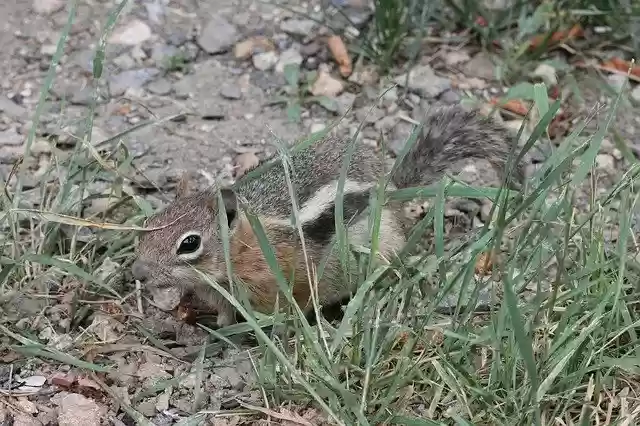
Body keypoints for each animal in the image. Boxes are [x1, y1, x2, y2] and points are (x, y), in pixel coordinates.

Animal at [131, 104, 525, 327]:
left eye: (189, 244)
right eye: (148, 226)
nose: (138, 272)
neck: (244, 249)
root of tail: (390, 188)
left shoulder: (289, 280)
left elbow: (294, 307)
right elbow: (227, 316)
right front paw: (218, 330)